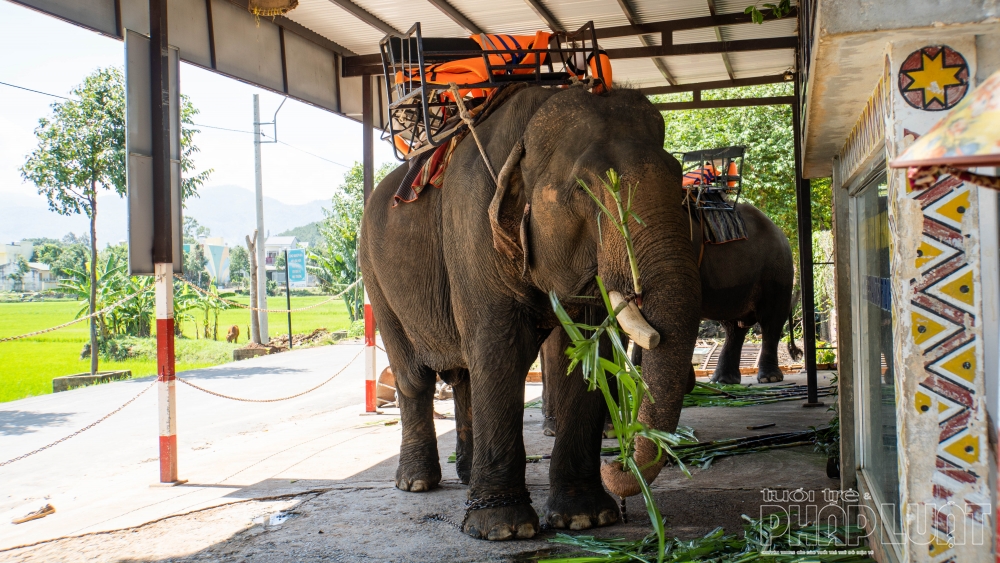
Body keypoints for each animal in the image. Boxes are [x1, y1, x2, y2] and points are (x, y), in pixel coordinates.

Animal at [362, 85, 704, 540]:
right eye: (585, 190)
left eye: (678, 176)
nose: (616, 462)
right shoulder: (472, 227)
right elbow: (500, 352)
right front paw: (503, 530)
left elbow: (586, 355)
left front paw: (585, 519)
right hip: (376, 278)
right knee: (415, 376)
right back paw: (416, 483)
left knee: (464, 375)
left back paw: (466, 477)